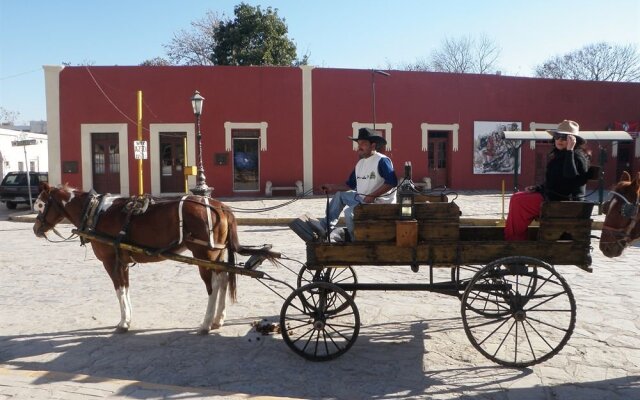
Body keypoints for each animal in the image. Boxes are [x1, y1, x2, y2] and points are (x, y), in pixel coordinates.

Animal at [32, 184, 276, 334]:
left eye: (41, 205)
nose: (35, 228)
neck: (97, 213)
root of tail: (220, 206)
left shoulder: (110, 261)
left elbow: (119, 289)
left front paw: (123, 322)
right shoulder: (122, 260)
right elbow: (126, 288)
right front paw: (128, 318)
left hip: (203, 255)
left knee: (213, 286)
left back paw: (206, 323)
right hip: (216, 254)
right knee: (224, 278)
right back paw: (218, 319)